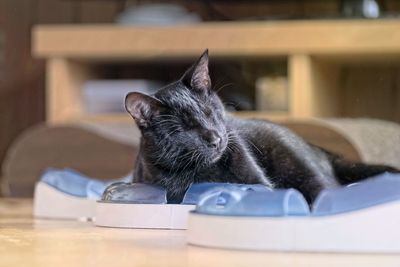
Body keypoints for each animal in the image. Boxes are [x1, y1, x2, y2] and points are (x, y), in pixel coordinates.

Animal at [124, 50, 396, 204]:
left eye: (211, 113)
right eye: (182, 128)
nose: (215, 138)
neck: (200, 171)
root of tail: (324, 152)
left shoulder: (261, 183)